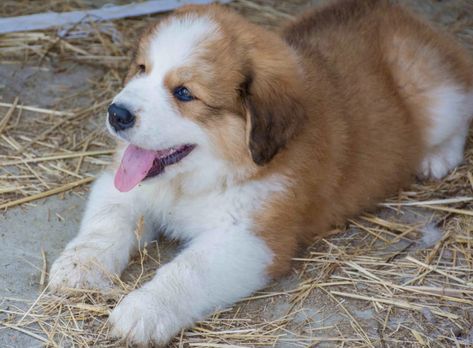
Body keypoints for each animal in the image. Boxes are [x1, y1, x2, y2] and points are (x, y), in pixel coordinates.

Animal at [48, 0, 472, 346]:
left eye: (184, 93)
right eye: (141, 69)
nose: (116, 114)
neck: (197, 180)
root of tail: (395, 13)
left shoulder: (250, 239)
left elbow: (187, 271)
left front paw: (144, 310)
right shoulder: (123, 186)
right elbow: (107, 223)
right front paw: (79, 267)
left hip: (433, 96)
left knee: (461, 108)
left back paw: (436, 158)